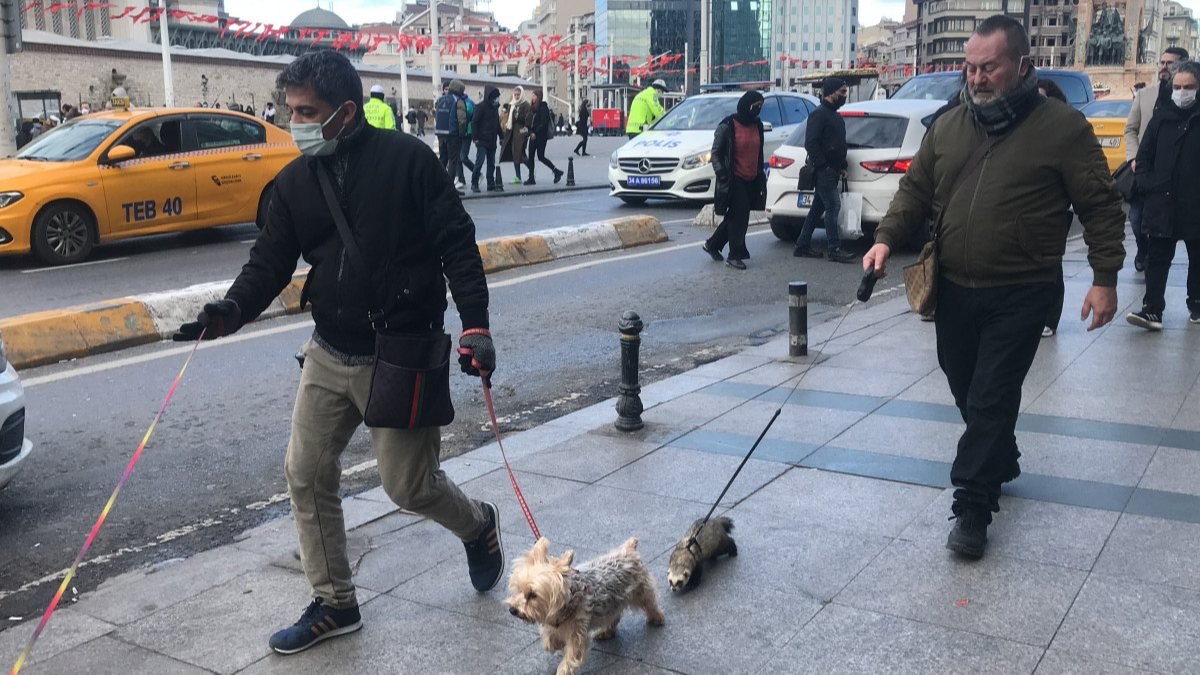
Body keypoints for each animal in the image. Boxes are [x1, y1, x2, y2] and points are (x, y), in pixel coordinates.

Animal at [501, 533, 662, 667]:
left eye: (532, 595)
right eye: (519, 589)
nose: (512, 610)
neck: (567, 603)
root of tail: (629, 550)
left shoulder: (577, 635)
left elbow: (571, 657)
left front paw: (562, 669)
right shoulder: (551, 625)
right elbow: (548, 642)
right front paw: (557, 643)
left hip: (641, 591)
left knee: (650, 603)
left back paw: (657, 618)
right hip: (613, 601)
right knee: (614, 615)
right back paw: (606, 631)